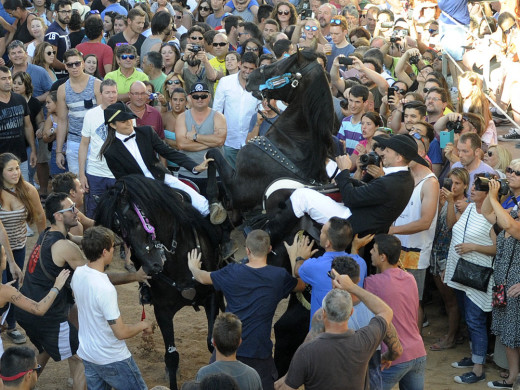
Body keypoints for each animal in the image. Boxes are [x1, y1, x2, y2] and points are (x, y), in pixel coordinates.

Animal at [95, 175, 221, 390]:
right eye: (117, 231)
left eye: (133, 220)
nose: (153, 266)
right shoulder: (162, 311)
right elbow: (172, 357)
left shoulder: (211, 297)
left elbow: (211, 343)